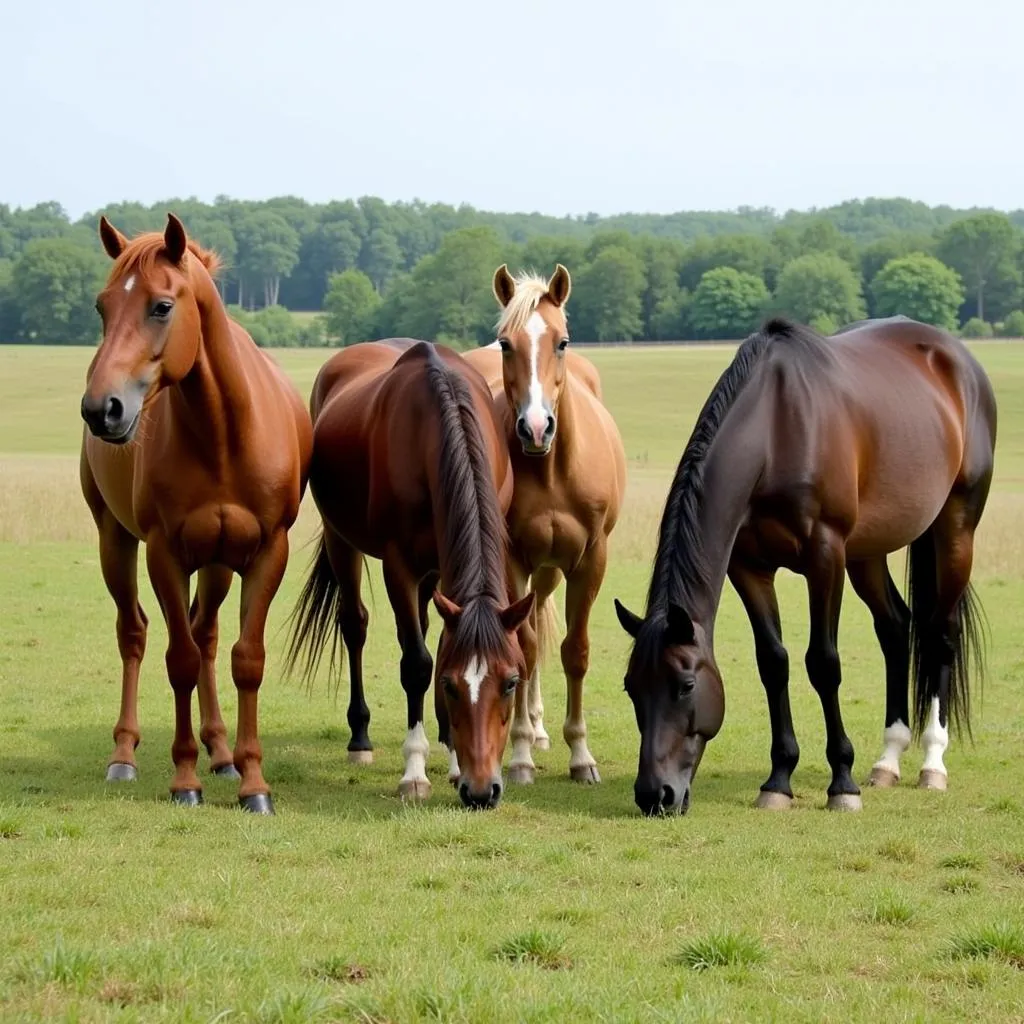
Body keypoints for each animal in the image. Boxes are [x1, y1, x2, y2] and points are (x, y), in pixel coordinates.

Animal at [80, 216, 311, 815]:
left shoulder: (265, 551)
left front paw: (254, 783)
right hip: (114, 539)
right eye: (102, 307)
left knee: (206, 636)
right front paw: (185, 780)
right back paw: (125, 755)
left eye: (162, 306)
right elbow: (178, 659)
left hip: (217, 563)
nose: (101, 409)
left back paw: (222, 752)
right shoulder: (164, 552)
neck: (224, 432)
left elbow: (245, 659)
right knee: (134, 633)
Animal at [284, 339, 532, 811]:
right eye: (451, 686)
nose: (481, 791)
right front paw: (415, 771)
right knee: (354, 625)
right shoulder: (398, 566)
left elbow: (436, 646)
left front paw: (452, 761)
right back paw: (360, 738)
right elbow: (417, 664)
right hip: (341, 540)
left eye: (511, 682)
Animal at [462, 264, 622, 782]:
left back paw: (540, 726)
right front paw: (519, 754)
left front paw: (581, 754)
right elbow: (524, 649)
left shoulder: (590, 560)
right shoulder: (513, 557)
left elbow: (576, 651)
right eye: (506, 344)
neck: (551, 468)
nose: (535, 428)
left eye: (562, 342)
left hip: (551, 571)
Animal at [610, 317, 995, 815]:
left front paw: (842, 783)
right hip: (868, 550)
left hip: (955, 528)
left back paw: (932, 763)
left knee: (940, 635)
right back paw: (887, 761)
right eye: (631, 687)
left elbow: (823, 663)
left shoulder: (825, 557)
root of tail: (959, 359)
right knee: (895, 627)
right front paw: (778, 779)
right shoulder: (749, 567)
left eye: (686, 685)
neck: (777, 431)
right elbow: (773, 662)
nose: (654, 794)